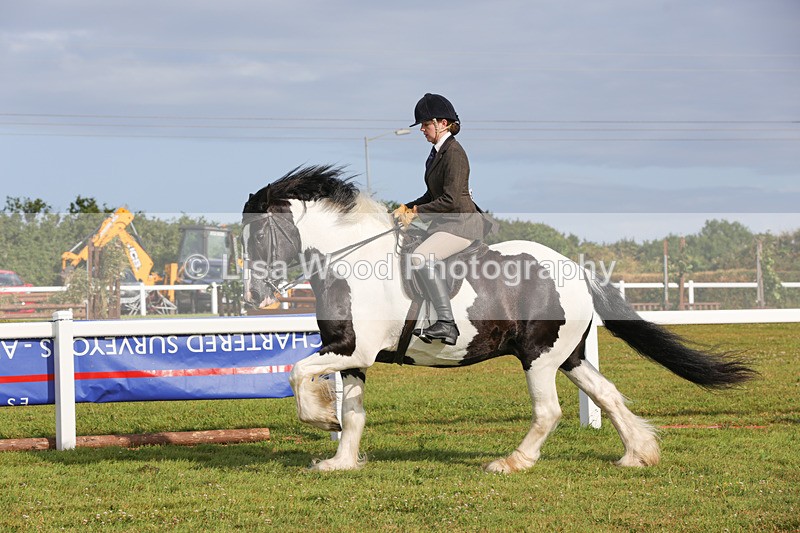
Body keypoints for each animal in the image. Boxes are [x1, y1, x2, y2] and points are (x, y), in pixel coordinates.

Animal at [241, 165, 755, 473]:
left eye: (258, 234)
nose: (255, 296)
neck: (351, 260)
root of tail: (577, 270)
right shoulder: (352, 355)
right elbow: (353, 412)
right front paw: (340, 459)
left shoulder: (354, 349)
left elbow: (296, 372)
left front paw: (319, 417)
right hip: (568, 355)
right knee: (607, 395)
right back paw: (638, 455)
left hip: (539, 356)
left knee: (550, 411)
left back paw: (512, 462)